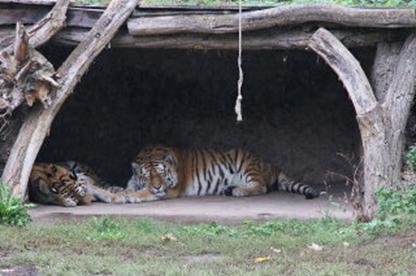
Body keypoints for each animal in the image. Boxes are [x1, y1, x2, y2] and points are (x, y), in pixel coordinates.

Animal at [112, 146, 320, 204]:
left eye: (162, 175)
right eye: (147, 176)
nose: (157, 186)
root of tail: (271, 165)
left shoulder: (171, 189)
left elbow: (144, 193)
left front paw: (131, 196)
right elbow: (128, 186)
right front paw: (117, 192)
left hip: (245, 164)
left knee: (261, 186)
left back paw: (238, 191)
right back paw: (230, 189)